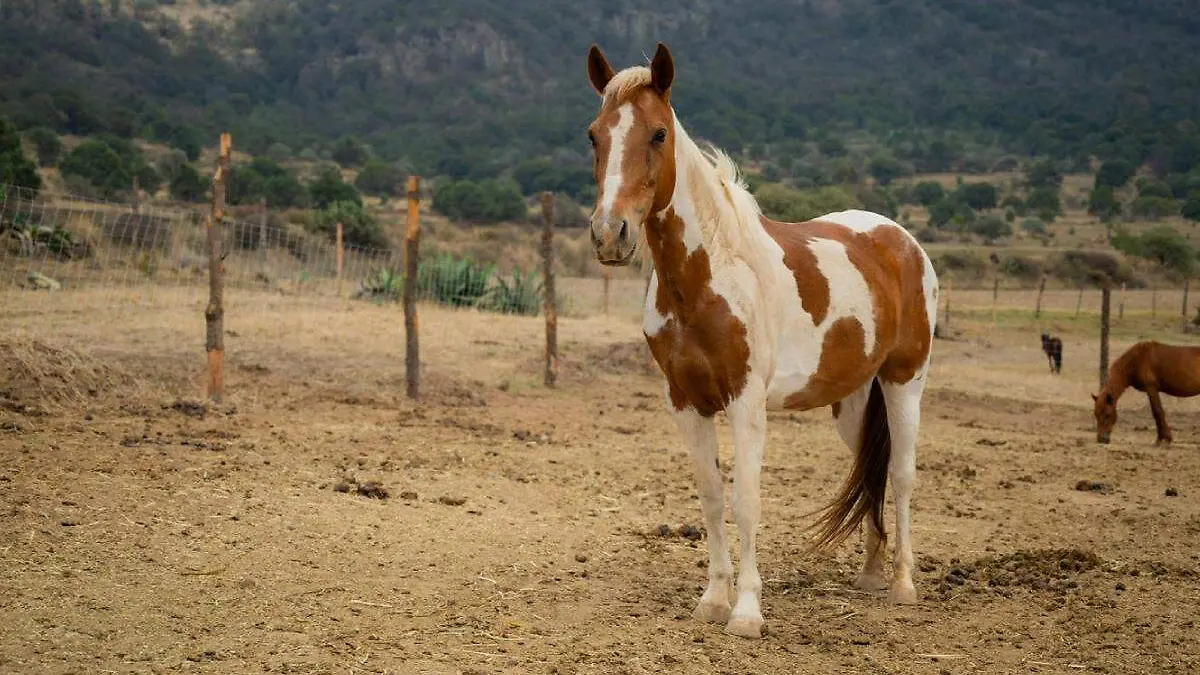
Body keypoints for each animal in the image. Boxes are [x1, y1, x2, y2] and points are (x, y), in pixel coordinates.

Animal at [584, 42, 939, 639]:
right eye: (594, 135)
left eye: (658, 134)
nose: (611, 235)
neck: (711, 276)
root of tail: (901, 241)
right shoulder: (685, 401)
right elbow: (711, 497)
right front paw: (712, 600)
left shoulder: (746, 400)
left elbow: (746, 499)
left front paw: (747, 611)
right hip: (852, 402)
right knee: (872, 471)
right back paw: (869, 574)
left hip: (903, 381)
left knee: (903, 475)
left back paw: (902, 585)